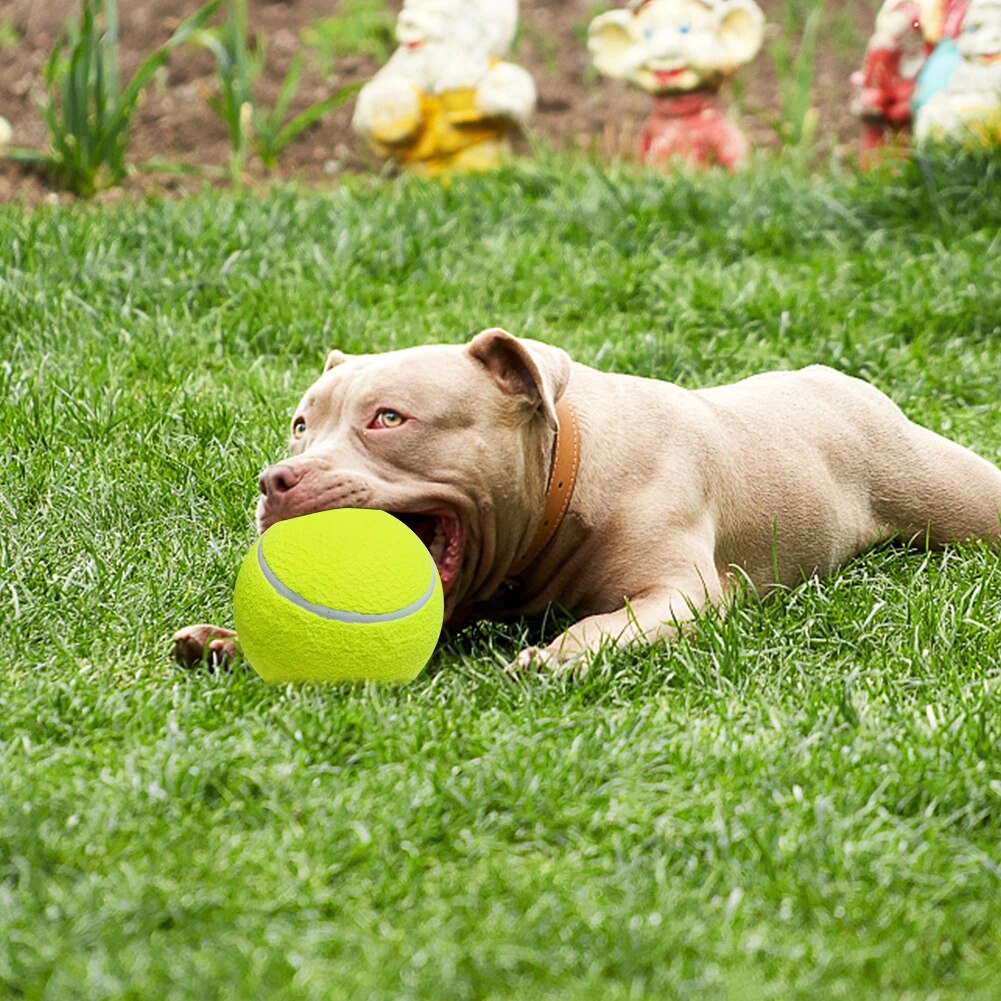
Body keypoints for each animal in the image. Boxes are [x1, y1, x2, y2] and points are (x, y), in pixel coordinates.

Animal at [172, 330, 1001, 672]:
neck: (556, 487)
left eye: (388, 418)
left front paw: (554, 655)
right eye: (300, 425)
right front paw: (228, 641)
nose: (276, 481)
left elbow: (607, 624)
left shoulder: (677, 592)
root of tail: (835, 379)